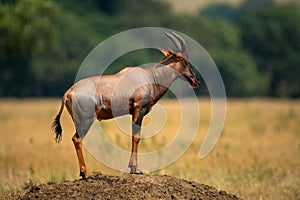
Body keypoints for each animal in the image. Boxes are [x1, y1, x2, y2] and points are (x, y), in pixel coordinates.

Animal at [52, 32, 200, 179]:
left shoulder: (133, 112)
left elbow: (134, 136)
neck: (149, 77)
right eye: (185, 61)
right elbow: (136, 137)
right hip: (86, 120)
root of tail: (70, 91)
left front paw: (132, 167)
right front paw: (136, 169)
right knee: (77, 139)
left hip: (77, 120)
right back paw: (86, 174)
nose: (196, 80)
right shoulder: (138, 109)